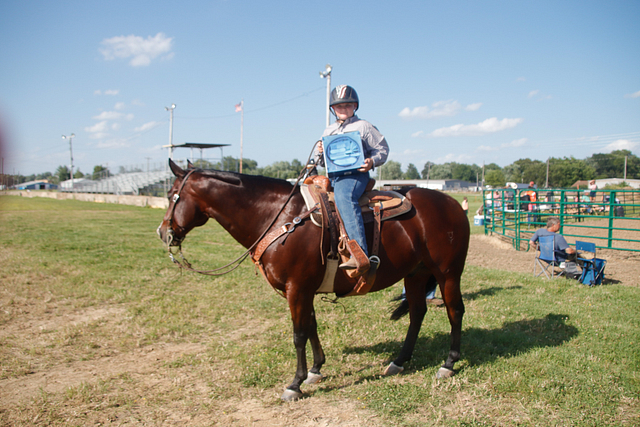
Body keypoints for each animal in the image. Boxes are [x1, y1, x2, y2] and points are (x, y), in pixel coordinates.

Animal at [157, 159, 469, 401]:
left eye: (173, 195)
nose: (163, 232)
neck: (279, 217)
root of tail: (453, 204)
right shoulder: (302, 289)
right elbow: (311, 326)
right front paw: (315, 370)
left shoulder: (297, 288)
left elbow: (298, 334)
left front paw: (294, 384)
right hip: (415, 274)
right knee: (417, 313)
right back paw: (399, 361)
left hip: (448, 273)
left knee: (455, 310)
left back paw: (449, 363)